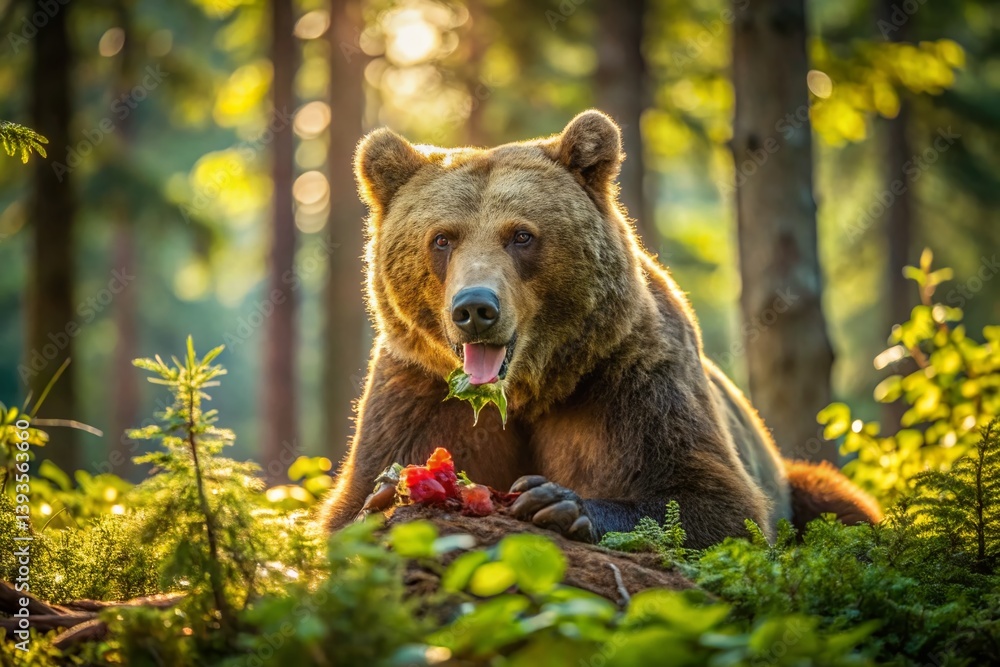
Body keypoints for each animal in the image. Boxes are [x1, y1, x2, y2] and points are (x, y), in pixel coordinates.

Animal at [318, 110, 881, 548]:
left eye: (521, 235)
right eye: (442, 239)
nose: (475, 307)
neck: (529, 390)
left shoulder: (630, 373)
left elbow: (716, 503)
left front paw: (558, 501)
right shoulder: (419, 387)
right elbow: (353, 499)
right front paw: (386, 492)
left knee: (839, 505)